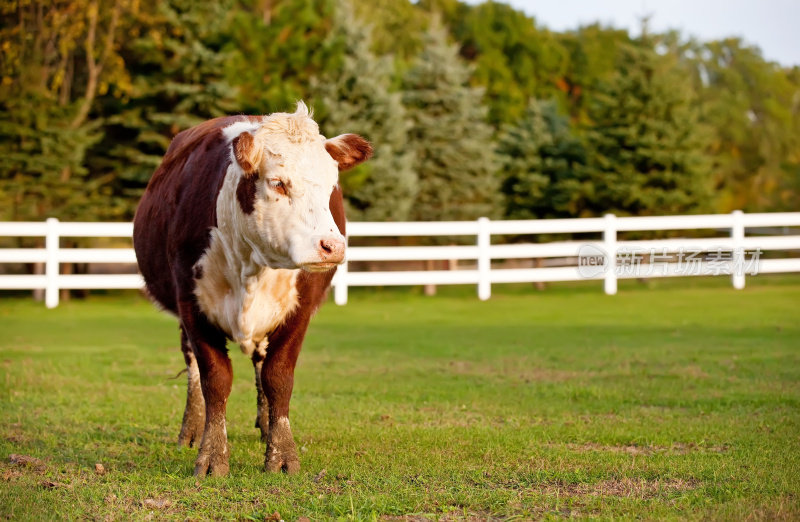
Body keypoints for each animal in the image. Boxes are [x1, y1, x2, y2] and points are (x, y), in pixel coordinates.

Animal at [133, 102, 374, 476]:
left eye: (331, 186)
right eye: (278, 183)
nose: (332, 246)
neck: (251, 264)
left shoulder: (300, 309)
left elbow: (278, 377)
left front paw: (281, 452)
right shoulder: (192, 303)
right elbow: (215, 379)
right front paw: (212, 455)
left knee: (261, 361)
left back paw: (265, 423)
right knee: (191, 364)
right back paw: (191, 427)